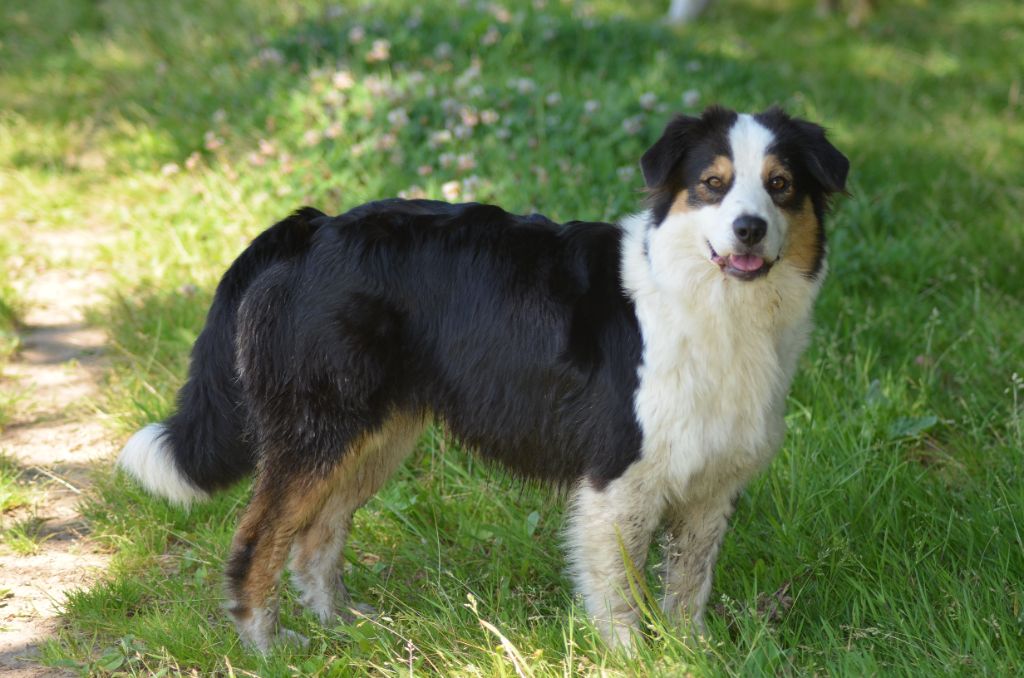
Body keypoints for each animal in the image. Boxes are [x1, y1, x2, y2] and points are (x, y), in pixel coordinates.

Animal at [116, 104, 847, 655]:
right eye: (714, 184)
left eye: (780, 185)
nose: (748, 229)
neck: (706, 302)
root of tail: (312, 227)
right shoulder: (618, 483)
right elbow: (620, 598)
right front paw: (637, 659)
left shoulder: (710, 489)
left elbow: (686, 592)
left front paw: (690, 655)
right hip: (315, 433)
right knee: (258, 540)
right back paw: (268, 648)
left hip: (371, 438)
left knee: (317, 538)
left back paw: (348, 631)